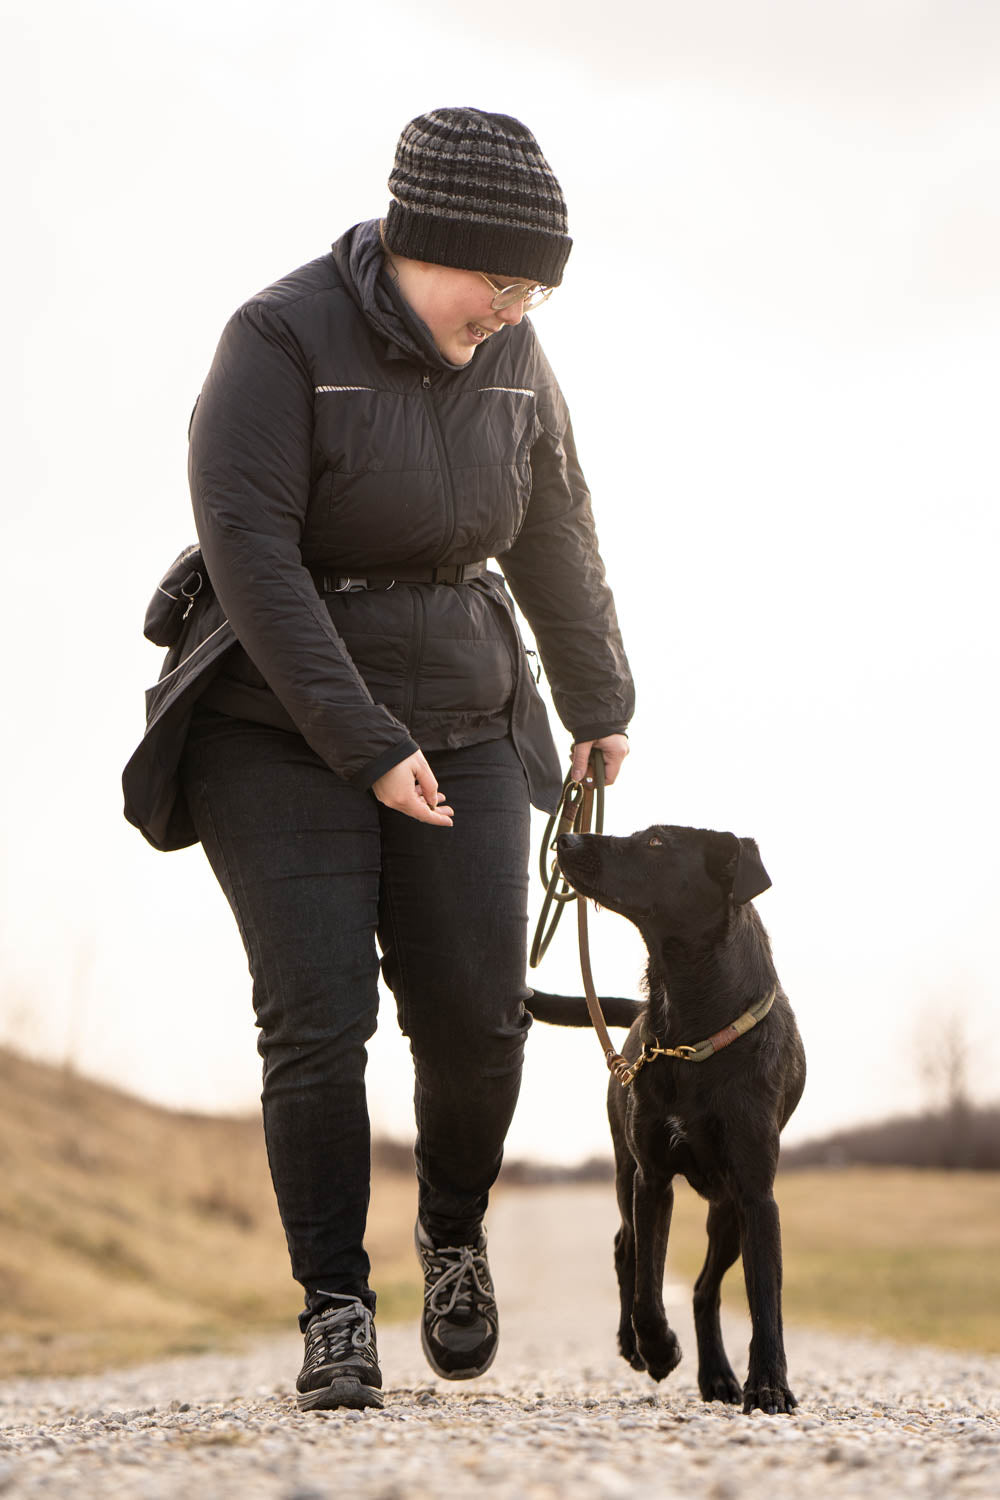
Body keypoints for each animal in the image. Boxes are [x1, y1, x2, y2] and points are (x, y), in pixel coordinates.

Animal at [530, 828, 803, 1410]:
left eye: (657, 841)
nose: (566, 837)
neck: (688, 1031)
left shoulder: (755, 1194)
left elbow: (764, 1297)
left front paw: (769, 1385)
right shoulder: (652, 1178)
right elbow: (648, 1289)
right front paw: (657, 1350)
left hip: (725, 1211)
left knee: (703, 1288)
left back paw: (718, 1376)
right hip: (623, 1171)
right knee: (626, 1251)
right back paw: (636, 1345)